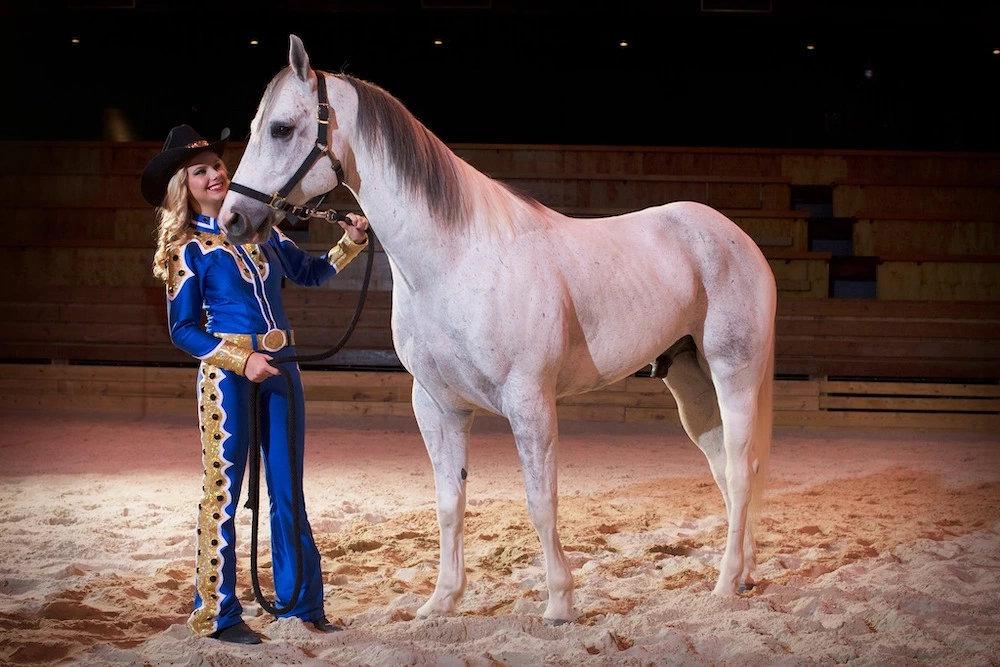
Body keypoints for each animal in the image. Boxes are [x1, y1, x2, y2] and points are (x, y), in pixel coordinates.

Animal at [223, 32, 776, 628]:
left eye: (282, 128)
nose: (232, 219)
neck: (458, 260)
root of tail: (738, 239)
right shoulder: (436, 405)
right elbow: (449, 504)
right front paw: (442, 600)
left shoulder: (529, 400)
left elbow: (541, 501)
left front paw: (559, 602)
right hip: (691, 382)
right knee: (726, 470)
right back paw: (743, 575)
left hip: (733, 373)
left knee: (741, 470)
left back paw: (724, 585)